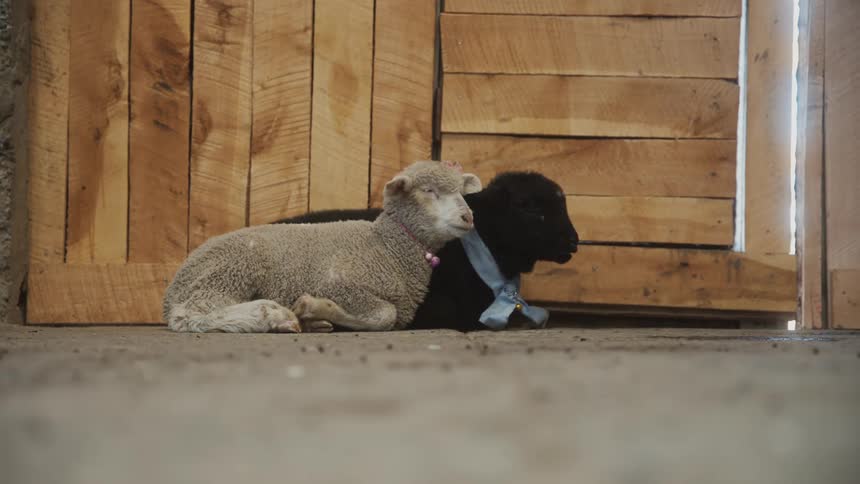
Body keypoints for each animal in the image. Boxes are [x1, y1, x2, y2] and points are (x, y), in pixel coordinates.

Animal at [162, 160, 483, 333]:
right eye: (429, 191)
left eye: (461, 192)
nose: (468, 217)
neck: (387, 246)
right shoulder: (339, 284)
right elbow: (384, 314)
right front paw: (314, 307)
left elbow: (386, 318)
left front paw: (317, 314)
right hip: (232, 268)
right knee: (191, 313)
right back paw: (273, 315)